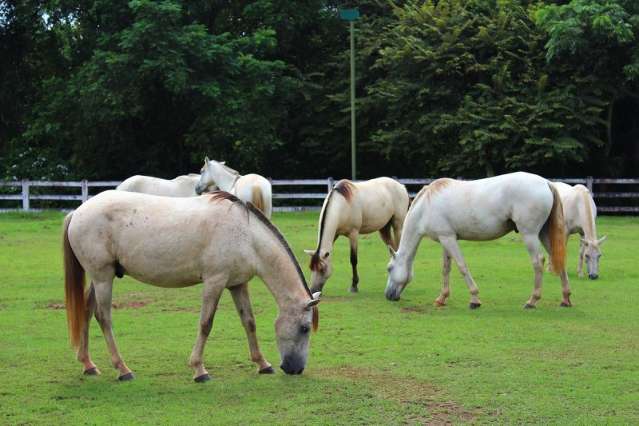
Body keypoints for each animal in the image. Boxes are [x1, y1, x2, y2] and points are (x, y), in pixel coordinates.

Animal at [63, 191, 320, 382]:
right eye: (305, 328)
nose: (295, 369)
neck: (246, 235)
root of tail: (78, 211)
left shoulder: (237, 284)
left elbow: (249, 322)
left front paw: (262, 364)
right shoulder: (214, 282)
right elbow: (206, 324)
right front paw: (199, 370)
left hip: (99, 278)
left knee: (86, 311)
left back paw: (88, 365)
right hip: (103, 277)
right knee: (103, 317)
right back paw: (123, 369)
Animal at [382, 172, 572, 310]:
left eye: (389, 268)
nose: (388, 295)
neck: (426, 206)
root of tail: (546, 183)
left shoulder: (449, 239)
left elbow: (461, 266)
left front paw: (474, 299)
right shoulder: (446, 238)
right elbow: (446, 269)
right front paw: (442, 298)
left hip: (530, 234)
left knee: (538, 262)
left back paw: (532, 301)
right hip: (543, 234)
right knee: (558, 259)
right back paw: (565, 298)